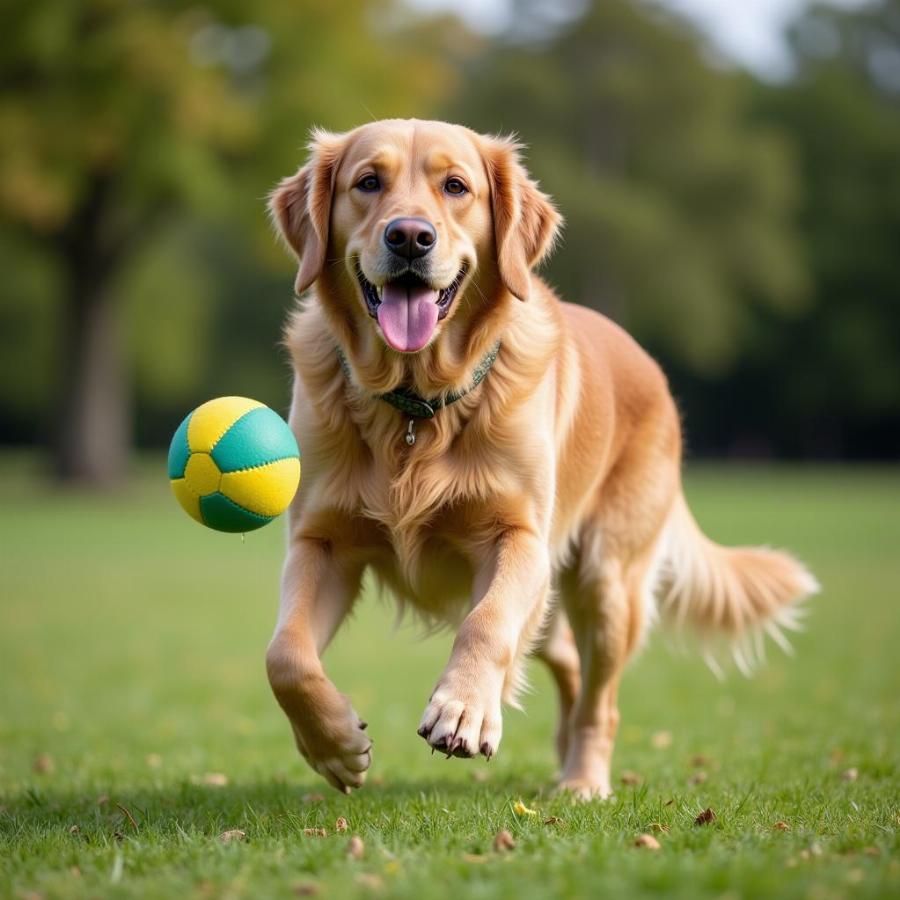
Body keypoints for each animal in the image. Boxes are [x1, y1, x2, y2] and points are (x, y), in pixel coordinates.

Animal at [264, 118, 820, 796]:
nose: (410, 237)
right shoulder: (320, 540)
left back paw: (583, 781)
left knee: (600, 700)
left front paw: (464, 708)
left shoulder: (522, 537)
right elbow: (286, 654)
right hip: (559, 612)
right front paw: (334, 745)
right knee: (570, 669)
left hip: (607, 585)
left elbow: (486, 622)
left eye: (456, 187)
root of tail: (651, 367)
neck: (417, 409)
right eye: (368, 182)